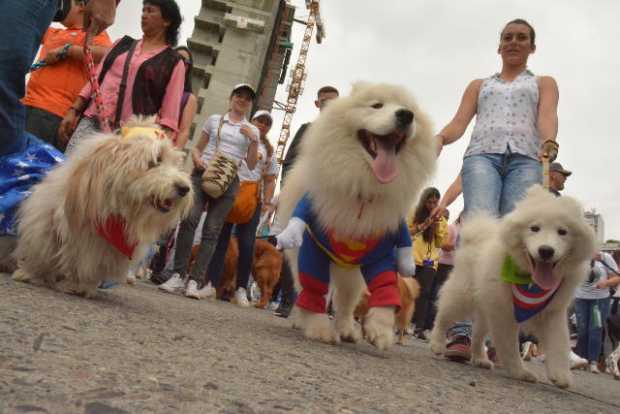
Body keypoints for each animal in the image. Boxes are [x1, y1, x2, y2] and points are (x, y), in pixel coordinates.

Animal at [13, 117, 194, 298]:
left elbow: (83, 266)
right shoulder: (50, 225)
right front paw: (29, 272)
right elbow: (45, 252)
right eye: (155, 161)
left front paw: (80, 285)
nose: (184, 188)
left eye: (176, 163)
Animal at [276, 81, 436, 350]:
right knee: (305, 291)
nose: (405, 115)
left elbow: (384, 292)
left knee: (346, 301)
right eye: (377, 105)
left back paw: (347, 329)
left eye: (410, 110)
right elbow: (315, 289)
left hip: (352, 272)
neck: (362, 188)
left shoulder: (379, 251)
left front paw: (379, 330)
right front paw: (319, 328)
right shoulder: (312, 250)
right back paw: (300, 320)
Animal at [432, 187, 596, 388]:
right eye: (534, 228)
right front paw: (520, 372)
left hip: (486, 310)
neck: (531, 282)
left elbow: (558, 344)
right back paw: (437, 343)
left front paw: (560, 374)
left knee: (477, 334)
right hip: (462, 296)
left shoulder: (552, 312)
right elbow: (510, 347)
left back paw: (480, 359)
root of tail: (477, 235)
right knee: (443, 316)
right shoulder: (505, 313)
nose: (546, 251)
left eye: (562, 232)